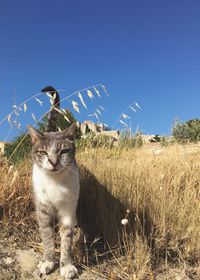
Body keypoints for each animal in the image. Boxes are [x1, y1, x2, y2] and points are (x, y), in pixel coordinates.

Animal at [28, 86, 79, 278]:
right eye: (43, 152)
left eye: (64, 151)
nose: (54, 162)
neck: (55, 182)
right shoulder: (43, 210)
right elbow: (48, 238)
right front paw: (48, 261)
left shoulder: (67, 210)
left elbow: (66, 239)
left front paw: (66, 265)